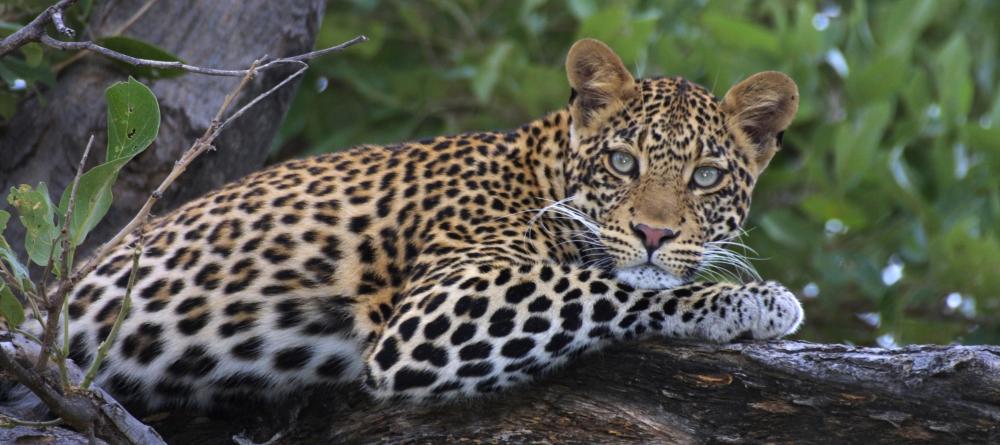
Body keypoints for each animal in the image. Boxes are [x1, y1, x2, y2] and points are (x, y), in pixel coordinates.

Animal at [18, 38, 804, 411]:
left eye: (705, 176)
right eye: (620, 161)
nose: (654, 235)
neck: (542, 171)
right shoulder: (440, 307)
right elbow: (601, 286)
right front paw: (749, 300)